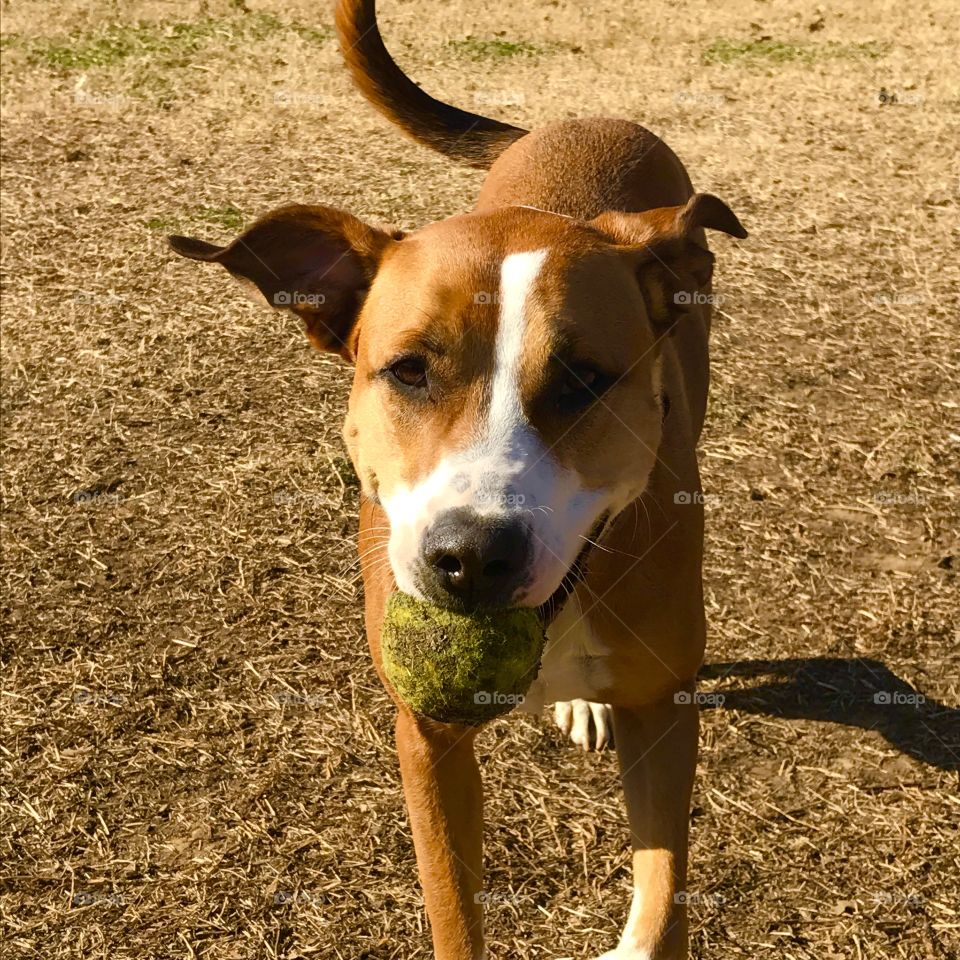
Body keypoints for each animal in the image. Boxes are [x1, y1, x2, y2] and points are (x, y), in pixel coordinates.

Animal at [169, 3, 748, 956]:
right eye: (408, 370)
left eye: (585, 380)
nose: (472, 557)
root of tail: (575, 123)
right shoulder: (428, 736)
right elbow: (452, 906)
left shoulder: (665, 710)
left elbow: (664, 897)